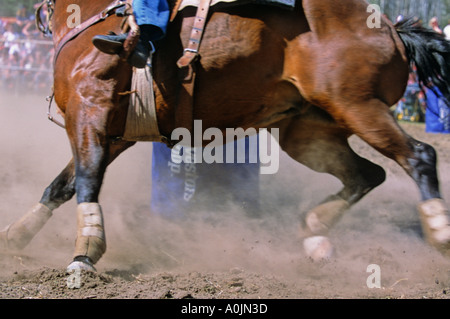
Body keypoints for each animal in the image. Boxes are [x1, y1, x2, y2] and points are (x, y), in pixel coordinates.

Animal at [0, 0, 450, 272]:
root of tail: (390, 28)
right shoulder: (115, 131)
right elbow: (63, 184)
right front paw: (17, 235)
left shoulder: (89, 109)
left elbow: (87, 178)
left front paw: (85, 252)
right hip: (309, 131)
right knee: (367, 175)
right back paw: (314, 231)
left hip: (358, 106)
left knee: (420, 156)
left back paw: (439, 232)